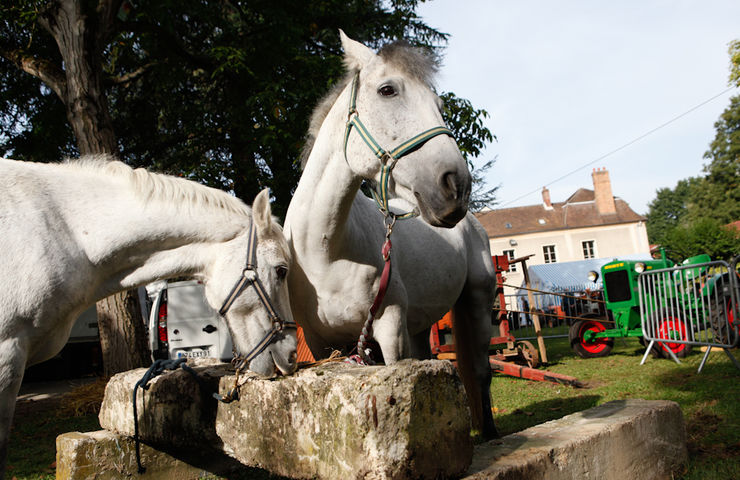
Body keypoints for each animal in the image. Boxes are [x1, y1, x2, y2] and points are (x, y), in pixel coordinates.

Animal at [284, 31, 498, 438]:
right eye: (387, 90)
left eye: (438, 104)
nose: (456, 186)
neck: (325, 250)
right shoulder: (321, 345)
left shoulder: (389, 327)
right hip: (422, 324)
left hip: (478, 301)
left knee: (481, 373)